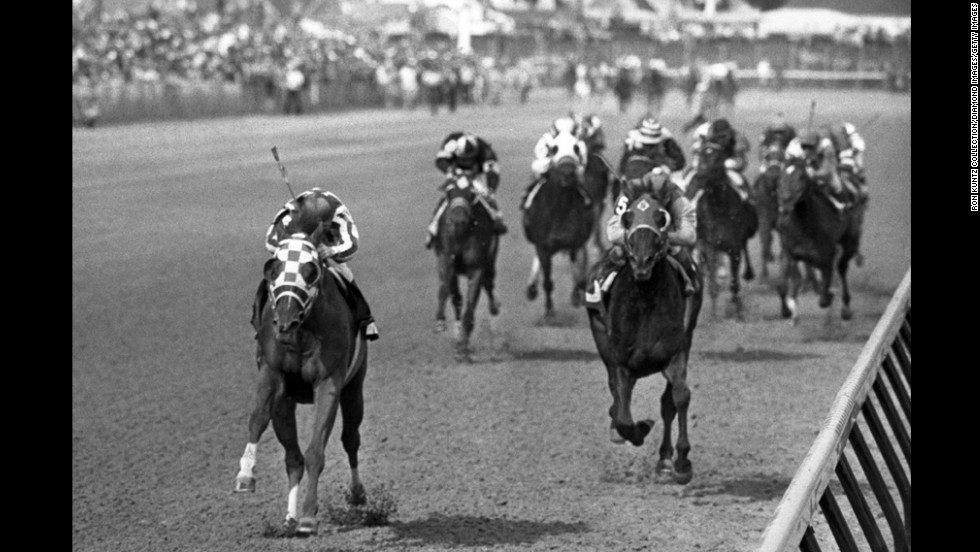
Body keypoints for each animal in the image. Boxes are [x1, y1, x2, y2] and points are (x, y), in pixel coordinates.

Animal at [236, 206, 368, 536]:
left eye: (311, 270)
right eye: (273, 267)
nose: (285, 321)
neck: (303, 332)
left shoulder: (329, 383)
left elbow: (316, 451)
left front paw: (309, 516)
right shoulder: (272, 373)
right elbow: (258, 417)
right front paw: (246, 475)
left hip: (355, 388)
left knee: (350, 439)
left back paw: (356, 495)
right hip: (285, 403)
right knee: (292, 458)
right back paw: (290, 518)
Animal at [434, 172, 502, 362]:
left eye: (471, 193)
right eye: (449, 191)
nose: (458, 220)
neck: (461, 234)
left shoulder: (477, 268)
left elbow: (471, 303)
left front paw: (464, 347)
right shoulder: (446, 260)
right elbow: (446, 291)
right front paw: (441, 321)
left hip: (490, 262)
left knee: (489, 285)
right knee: (456, 297)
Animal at [584, 193, 700, 484]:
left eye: (662, 218)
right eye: (627, 217)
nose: (642, 261)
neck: (645, 300)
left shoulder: (676, 352)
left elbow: (679, 397)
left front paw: (682, 462)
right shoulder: (622, 361)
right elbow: (624, 413)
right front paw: (639, 427)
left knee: (667, 403)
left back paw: (665, 460)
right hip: (600, 336)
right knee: (616, 394)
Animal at [688, 140, 756, 320]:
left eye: (717, 158)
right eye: (701, 155)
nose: (699, 177)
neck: (719, 208)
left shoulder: (734, 249)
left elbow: (734, 283)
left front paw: (739, 313)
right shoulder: (710, 247)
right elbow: (712, 283)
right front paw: (713, 315)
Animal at [776, 157, 860, 324]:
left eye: (801, 176)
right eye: (781, 177)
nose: (785, 202)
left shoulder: (827, 256)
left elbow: (824, 299)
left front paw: (829, 294)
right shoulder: (789, 253)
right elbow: (782, 285)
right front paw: (787, 311)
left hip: (850, 240)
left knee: (842, 267)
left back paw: (845, 308)